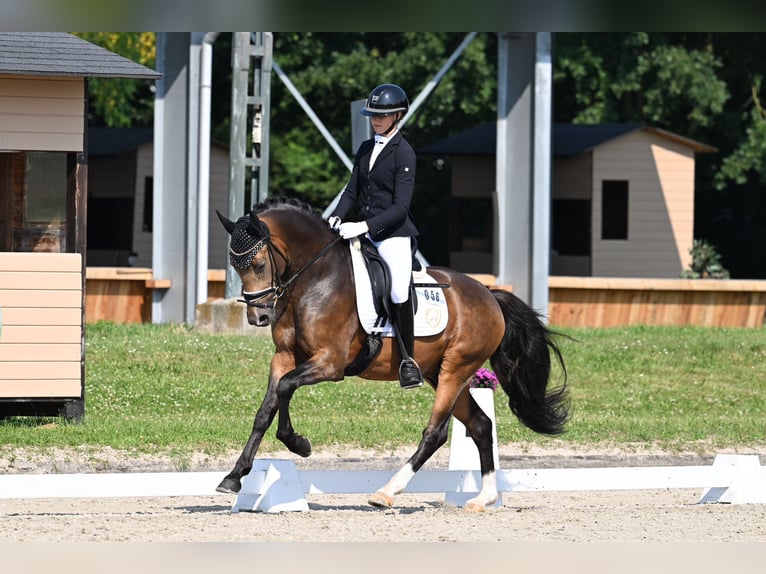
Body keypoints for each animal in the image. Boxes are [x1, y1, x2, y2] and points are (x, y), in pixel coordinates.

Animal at [216, 198, 568, 512]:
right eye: (235, 267)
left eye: (260, 264)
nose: (258, 317)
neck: (316, 277)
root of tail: (489, 295)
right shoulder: (284, 357)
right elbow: (266, 410)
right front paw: (234, 477)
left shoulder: (330, 362)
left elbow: (287, 387)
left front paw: (298, 444)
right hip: (440, 372)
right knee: (481, 425)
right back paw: (483, 499)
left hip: (457, 369)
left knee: (436, 432)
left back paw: (386, 492)